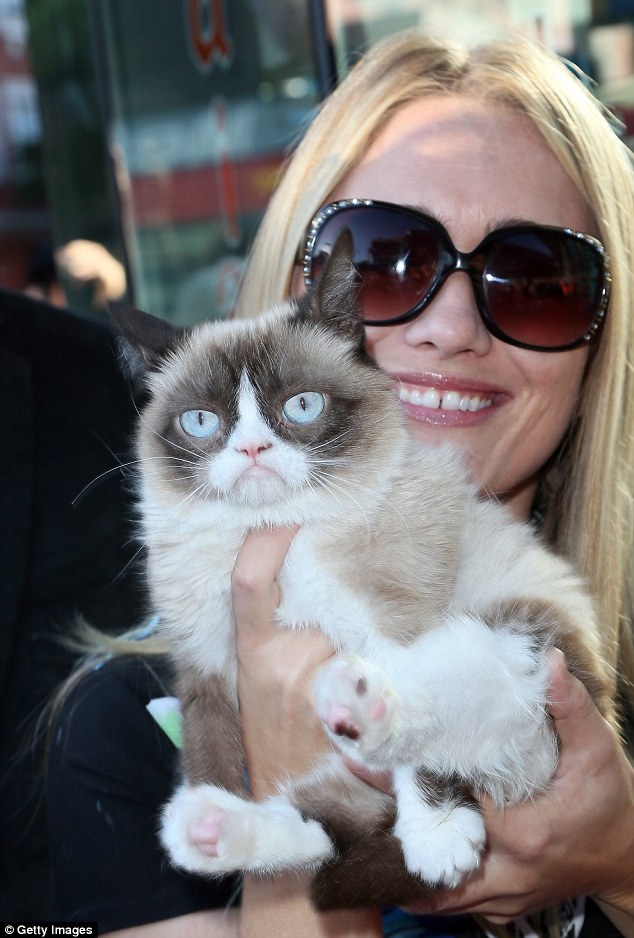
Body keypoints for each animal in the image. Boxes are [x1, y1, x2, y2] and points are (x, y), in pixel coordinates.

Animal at [111, 230, 616, 912]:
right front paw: (203, 808)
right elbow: (209, 753)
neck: (270, 535)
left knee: (476, 704)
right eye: (201, 421)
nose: (251, 450)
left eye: (302, 406)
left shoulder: (395, 619)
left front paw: (438, 836)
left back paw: (376, 729)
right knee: (330, 826)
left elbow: (424, 755)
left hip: (521, 634)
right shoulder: (207, 662)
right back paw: (210, 827)